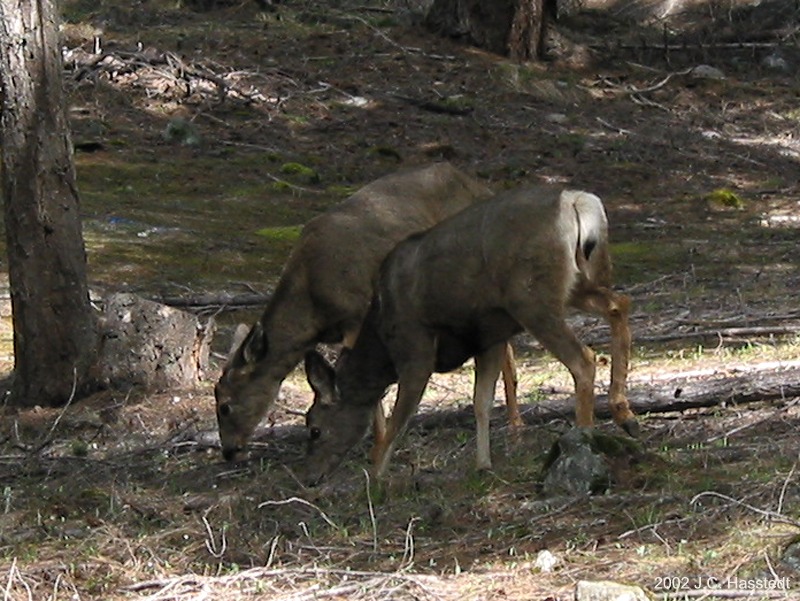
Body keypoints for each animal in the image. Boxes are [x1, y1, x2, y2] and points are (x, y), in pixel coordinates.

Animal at [216, 162, 520, 462]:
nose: (229, 451)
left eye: (225, 406)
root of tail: (480, 187)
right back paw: (513, 422)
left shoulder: (357, 313)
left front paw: (377, 446)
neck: (313, 304)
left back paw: (515, 424)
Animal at [304, 185, 640, 486]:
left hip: (531, 298)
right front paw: (483, 465)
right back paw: (625, 415)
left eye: (314, 428)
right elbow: (482, 402)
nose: (311, 478)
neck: (381, 337)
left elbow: (399, 419)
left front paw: (374, 482)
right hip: (578, 284)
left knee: (584, 358)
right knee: (618, 304)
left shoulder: (415, 349)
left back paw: (583, 441)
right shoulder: (489, 338)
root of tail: (576, 202)